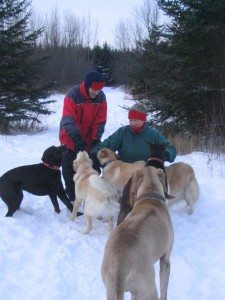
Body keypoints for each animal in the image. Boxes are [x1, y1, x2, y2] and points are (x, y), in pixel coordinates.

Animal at [102, 166, 174, 300]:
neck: (150, 196)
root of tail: (120, 261)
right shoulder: (165, 259)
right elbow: (164, 290)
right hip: (148, 288)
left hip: (112, 287)